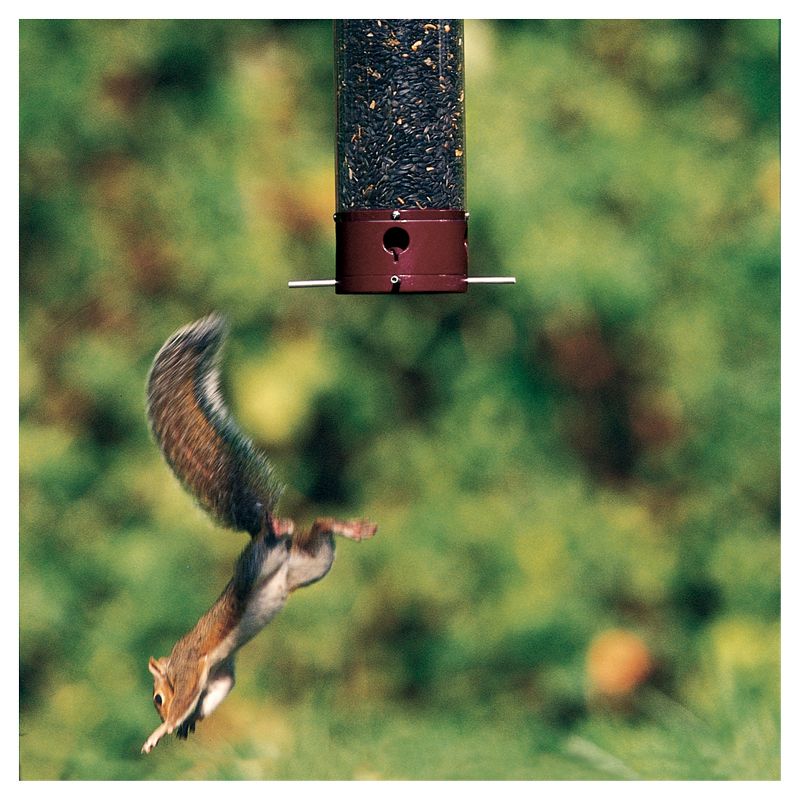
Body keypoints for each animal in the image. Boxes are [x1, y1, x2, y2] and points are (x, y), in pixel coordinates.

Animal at [141, 314, 376, 754]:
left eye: (158, 698)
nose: (161, 716)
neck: (181, 663)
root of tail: (265, 532)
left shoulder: (192, 668)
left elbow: (189, 697)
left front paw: (161, 731)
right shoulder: (220, 672)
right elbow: (214, 695)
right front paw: (186, 725)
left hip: (257, 564)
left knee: (298, 528)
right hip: (315, 562)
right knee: (318, 527)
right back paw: (351, 527)